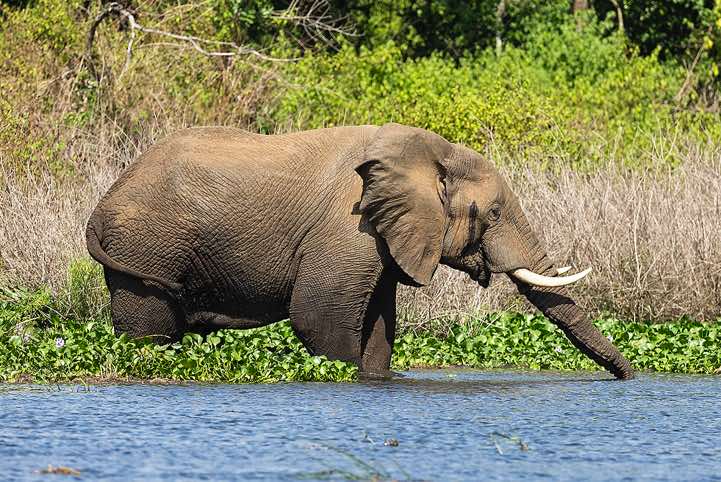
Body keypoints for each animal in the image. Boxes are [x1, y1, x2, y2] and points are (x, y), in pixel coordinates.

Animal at [86, 123, 634, 379]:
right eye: (494, 212)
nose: (629, 378)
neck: (425, 152)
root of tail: (101, 205)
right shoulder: (351, 227)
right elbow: (317, 317)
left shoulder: (386, 238)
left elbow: (378, 328)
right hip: (147, 250)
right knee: (150, 334)